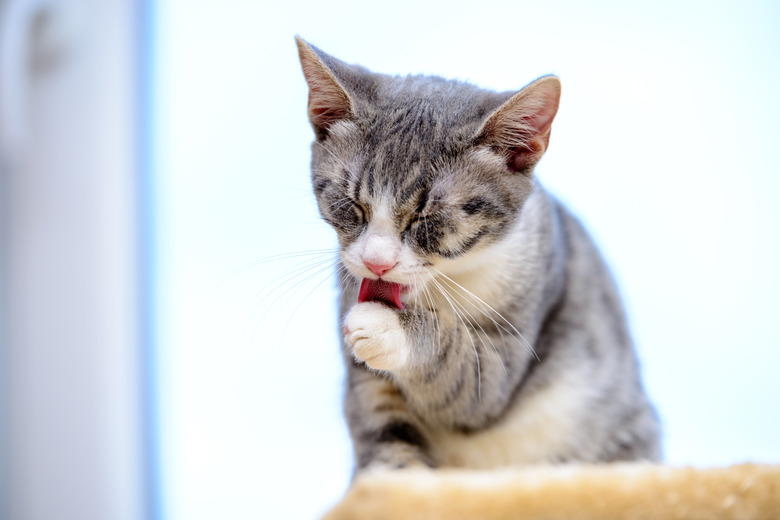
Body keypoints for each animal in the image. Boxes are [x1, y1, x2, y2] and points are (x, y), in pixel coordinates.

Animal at [296, 38, 660, 474]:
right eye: (351, 204)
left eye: (426, 216)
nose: (376, 262)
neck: (442, 286)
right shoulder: (358, 330)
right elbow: (384, 428)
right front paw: (395, 478)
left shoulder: (523, 318)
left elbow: (468, 379)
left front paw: (389, 327)